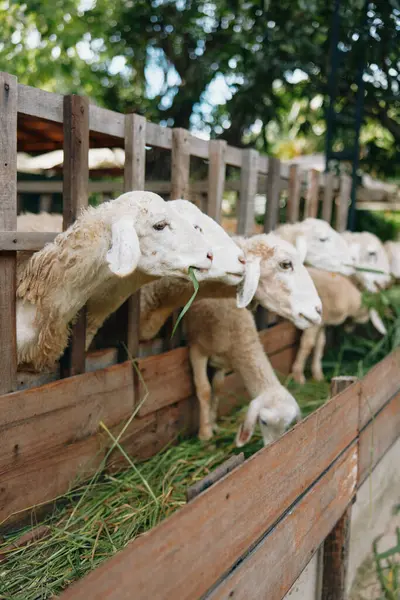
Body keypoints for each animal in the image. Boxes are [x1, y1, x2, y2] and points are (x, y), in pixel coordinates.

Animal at [184, 298, 300, 442]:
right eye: (263, 422)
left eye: (286, 426)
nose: (272, 444)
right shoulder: (197, 348)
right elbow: (204, 389)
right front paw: (205, 433)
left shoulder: (222, 363)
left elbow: (218, 388)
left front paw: (213, 424)